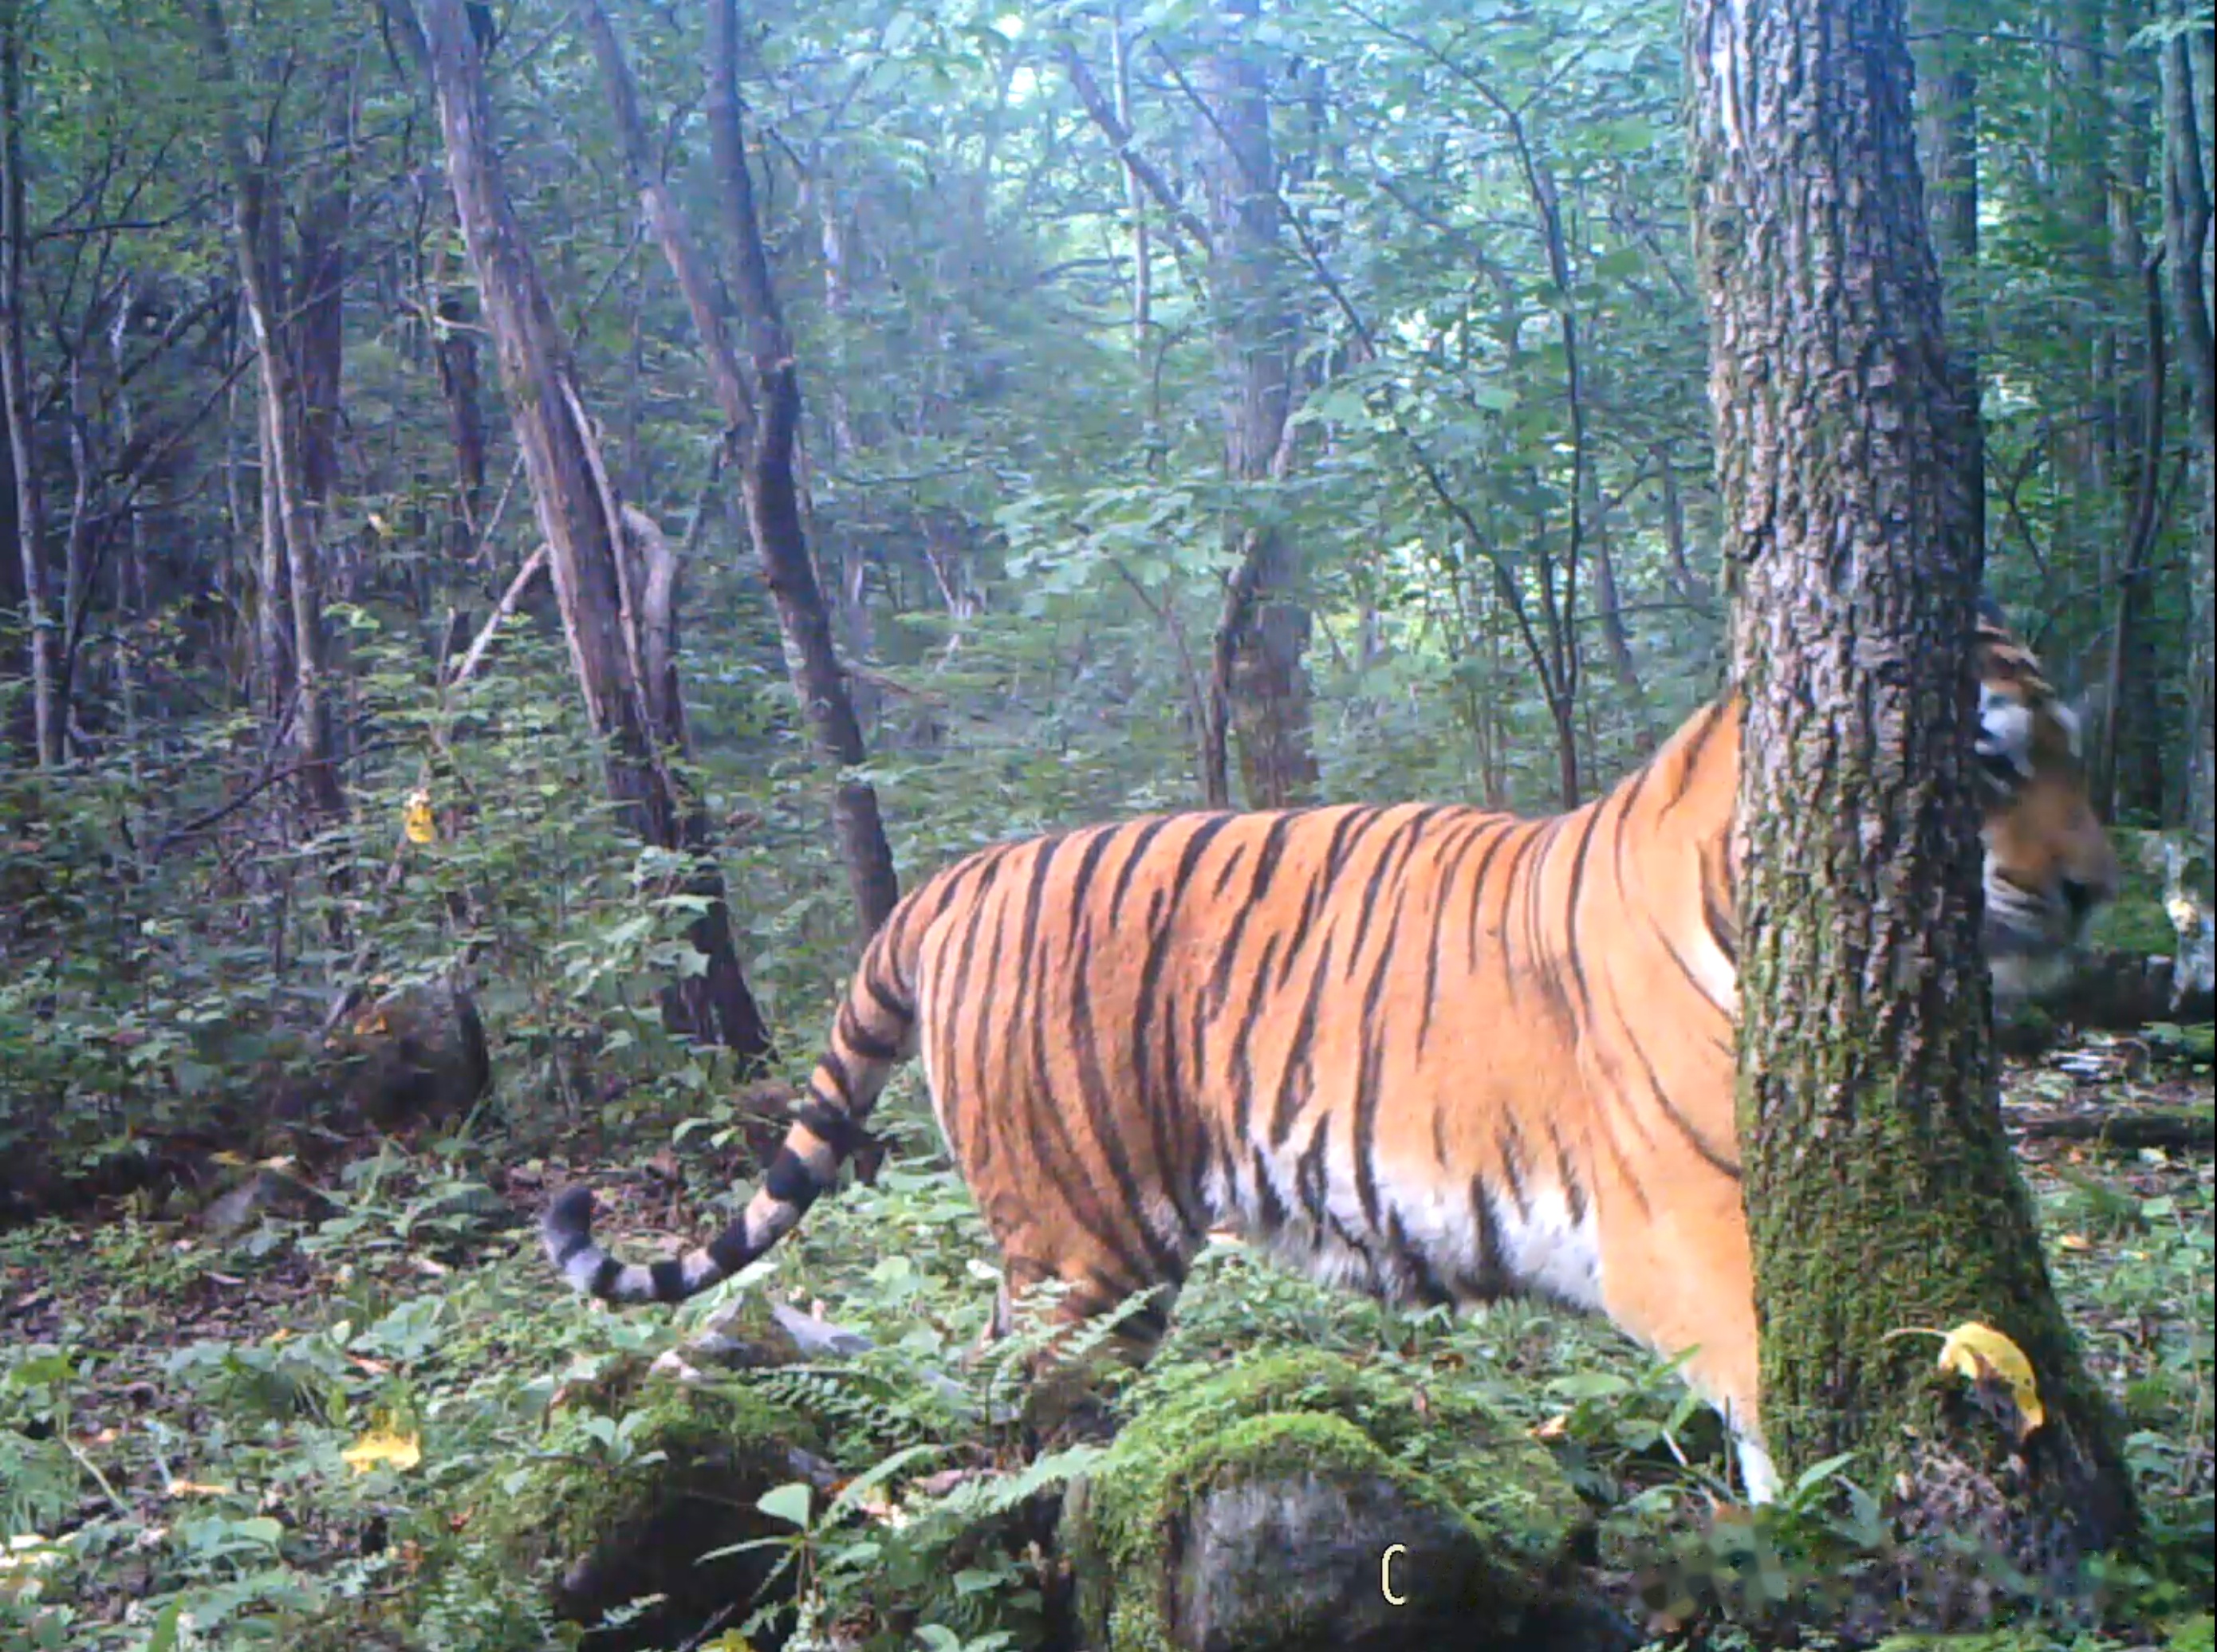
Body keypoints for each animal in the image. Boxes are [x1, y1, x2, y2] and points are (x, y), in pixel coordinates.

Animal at [541, 608, 2110, 1508]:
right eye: (1987, 765)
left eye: (2075, 754)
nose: (2102, 887)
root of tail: (952, 878)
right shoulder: (1687, 1236)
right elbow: (1783, 1405)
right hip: (1084, 1247)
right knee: (1023, 1405)